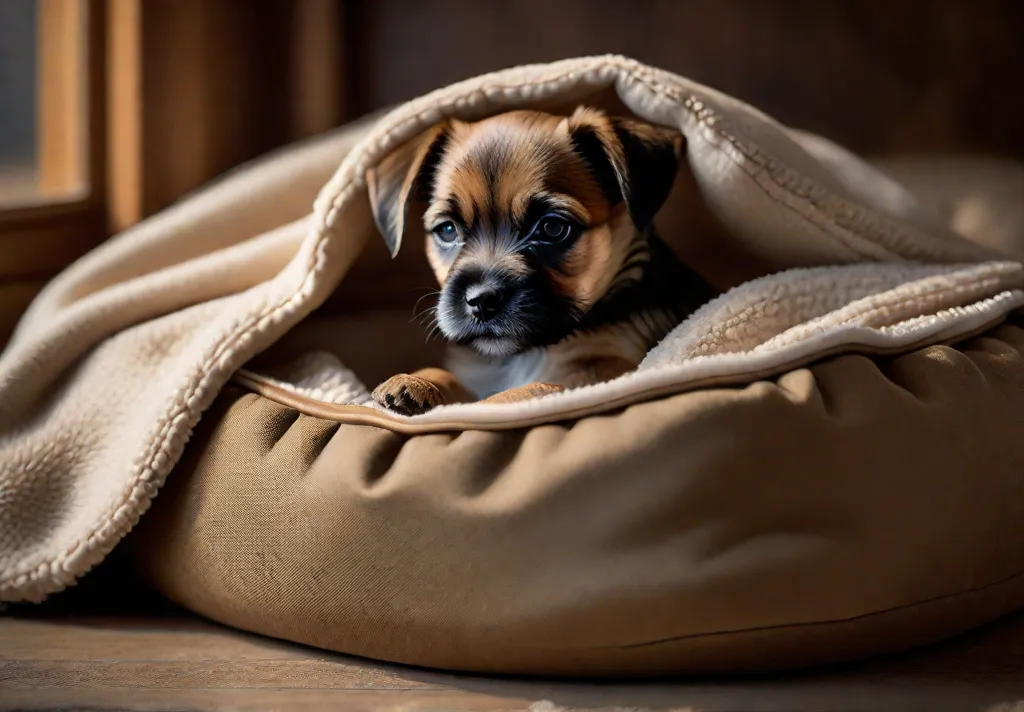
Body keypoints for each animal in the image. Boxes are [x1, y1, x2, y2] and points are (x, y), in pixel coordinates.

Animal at [366, 108, 712, 415]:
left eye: (553, 228)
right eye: (447, 230)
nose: (481, 300)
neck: (522, 355)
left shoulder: (597, 374)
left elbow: (510, 396)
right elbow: (456, 382)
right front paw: (416, 382)